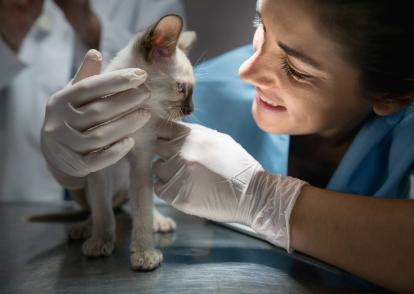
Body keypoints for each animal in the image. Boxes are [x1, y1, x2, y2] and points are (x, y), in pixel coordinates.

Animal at [61, 14, 196, 272]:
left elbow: (142, 212)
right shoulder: (98, 165)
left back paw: (159, 221)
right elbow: (103, 212)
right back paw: (84, 229)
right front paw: (101, 241)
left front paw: (144, 253)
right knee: (102, 206)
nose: (191, 110)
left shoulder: (141, 162)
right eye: (181, 88)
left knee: (139, 204)